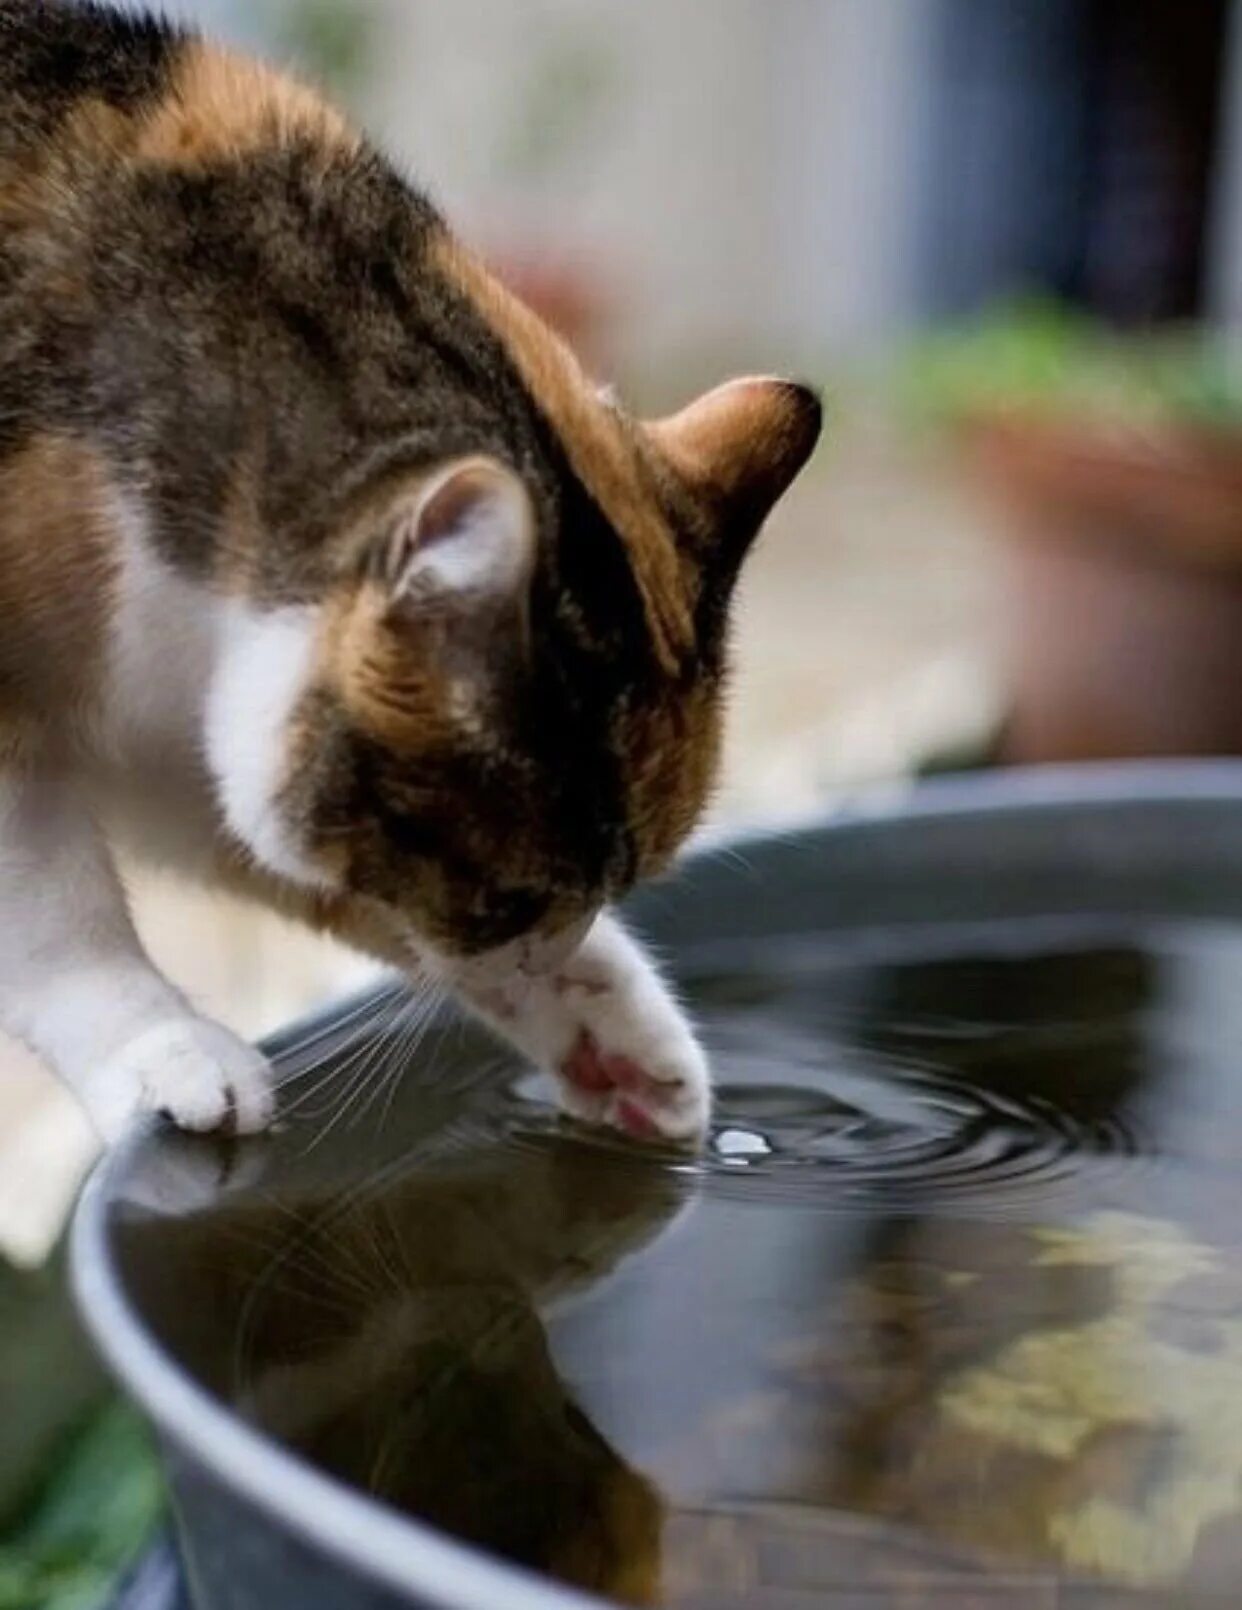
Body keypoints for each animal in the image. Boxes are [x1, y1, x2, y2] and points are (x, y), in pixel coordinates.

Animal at [0, 3, 824, 1146]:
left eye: (616, 882)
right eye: (510, 900)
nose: (547, 957)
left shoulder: (176, 720)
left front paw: (616, 1035)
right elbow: (51, 901)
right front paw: (160, 1046)